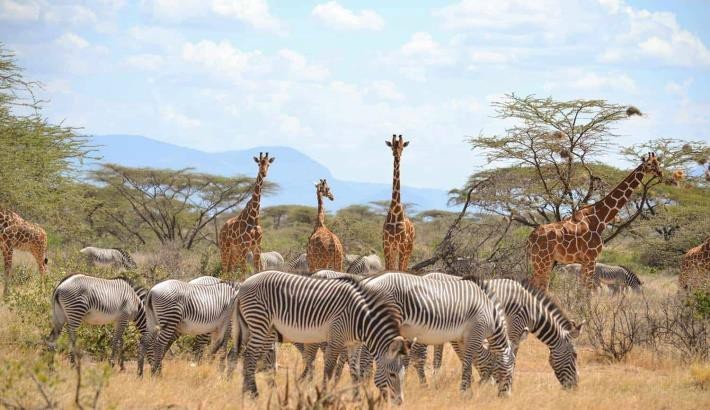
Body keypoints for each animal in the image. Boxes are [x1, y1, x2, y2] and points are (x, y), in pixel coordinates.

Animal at [231, 270, 412, 404]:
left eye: (404, 376)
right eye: (392, 375)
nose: (400, 402)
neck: (359, 318)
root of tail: (243, 284)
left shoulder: (353, 344)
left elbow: (355, 372)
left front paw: (357, 399)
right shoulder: (336, 339)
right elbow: (329, 370)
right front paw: (324, 397)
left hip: (266, 328)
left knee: (251, 357)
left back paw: (246, 392)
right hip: (259, 322)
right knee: (250, 356)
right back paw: (254, 394)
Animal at [362, 270, 516, 396]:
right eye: (511, 370)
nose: (507, 397)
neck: (492, 316)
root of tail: (370, 280)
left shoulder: (463, 339)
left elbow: (471, 360)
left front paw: (471, 387)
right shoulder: (475, 333)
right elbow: (468, 363)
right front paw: (466, 392)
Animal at [418, 274, 584, 390]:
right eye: (575, 355)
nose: (575, 387)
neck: (531, 311)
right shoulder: (513, 329)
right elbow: (509, 356)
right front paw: (501, 381)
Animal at [524, 152, 664, 290]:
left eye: (658, 162)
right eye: (650, 164)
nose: (660, 173)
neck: (600, 219)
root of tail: (530, 238)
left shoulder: (585, 261)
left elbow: (583, 288)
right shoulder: (592, 258)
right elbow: (588, 289)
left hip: (544, 261)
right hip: (542, 260)